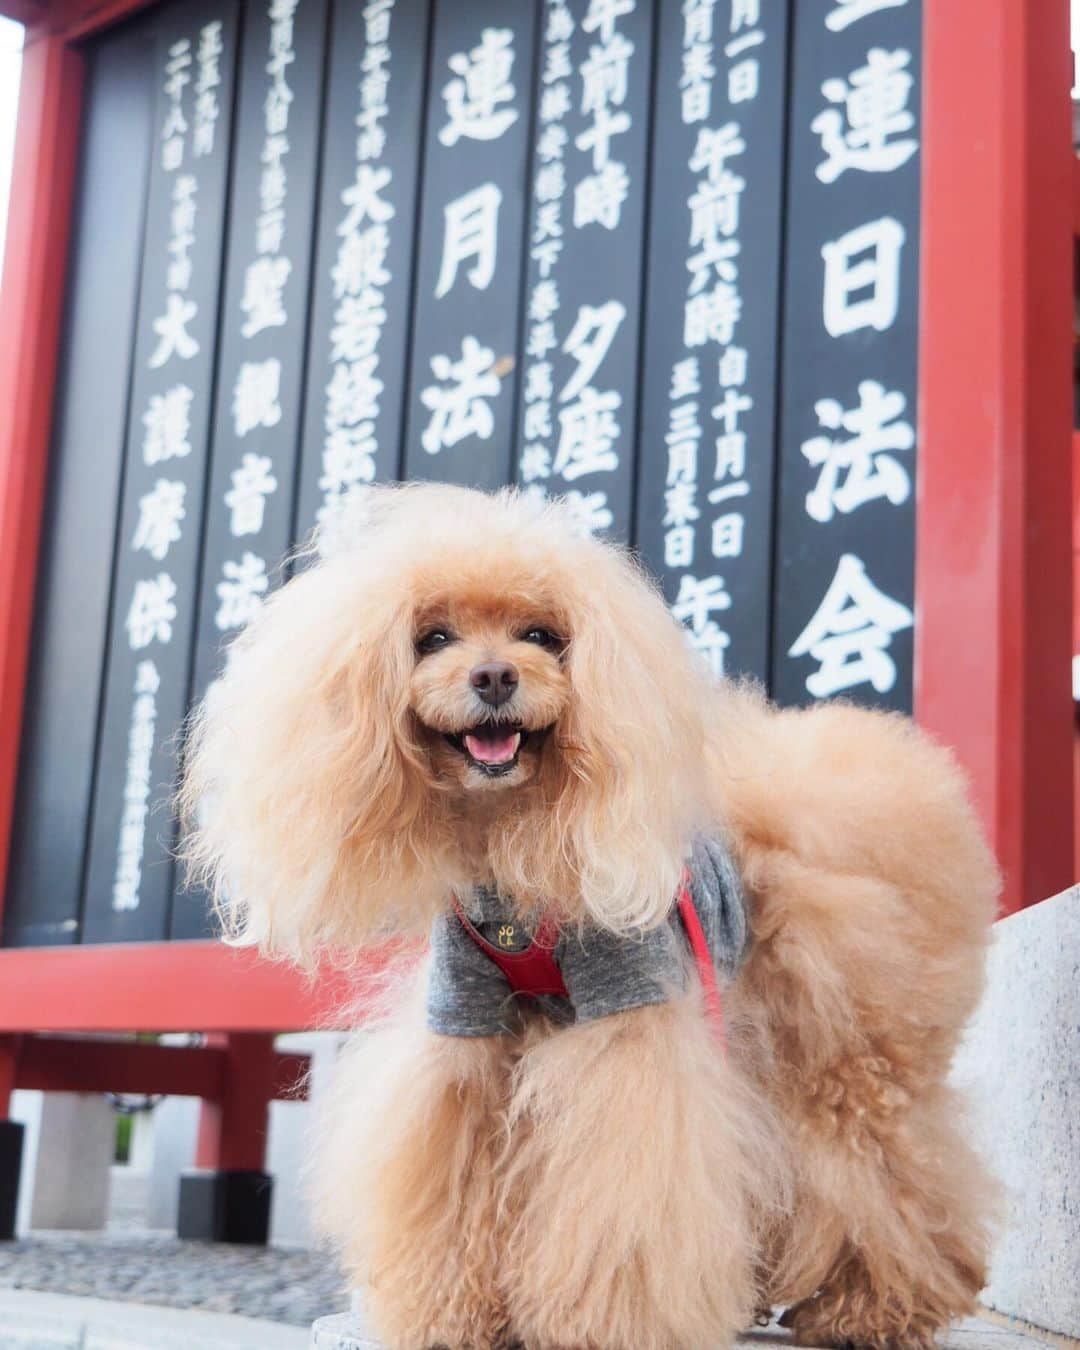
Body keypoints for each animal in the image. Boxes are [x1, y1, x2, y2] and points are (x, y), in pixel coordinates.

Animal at [180, 483, 999, 1350]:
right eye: (432, 638)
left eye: (543, 636)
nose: (495, 675)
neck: (516, 849)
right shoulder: (468, 1030)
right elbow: (452, 1182)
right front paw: (448, 1316)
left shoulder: (627, 1023)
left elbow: (626, 1199)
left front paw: (612, 1321)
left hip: (847, 1042)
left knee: (882, 1160)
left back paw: (871, 1307)